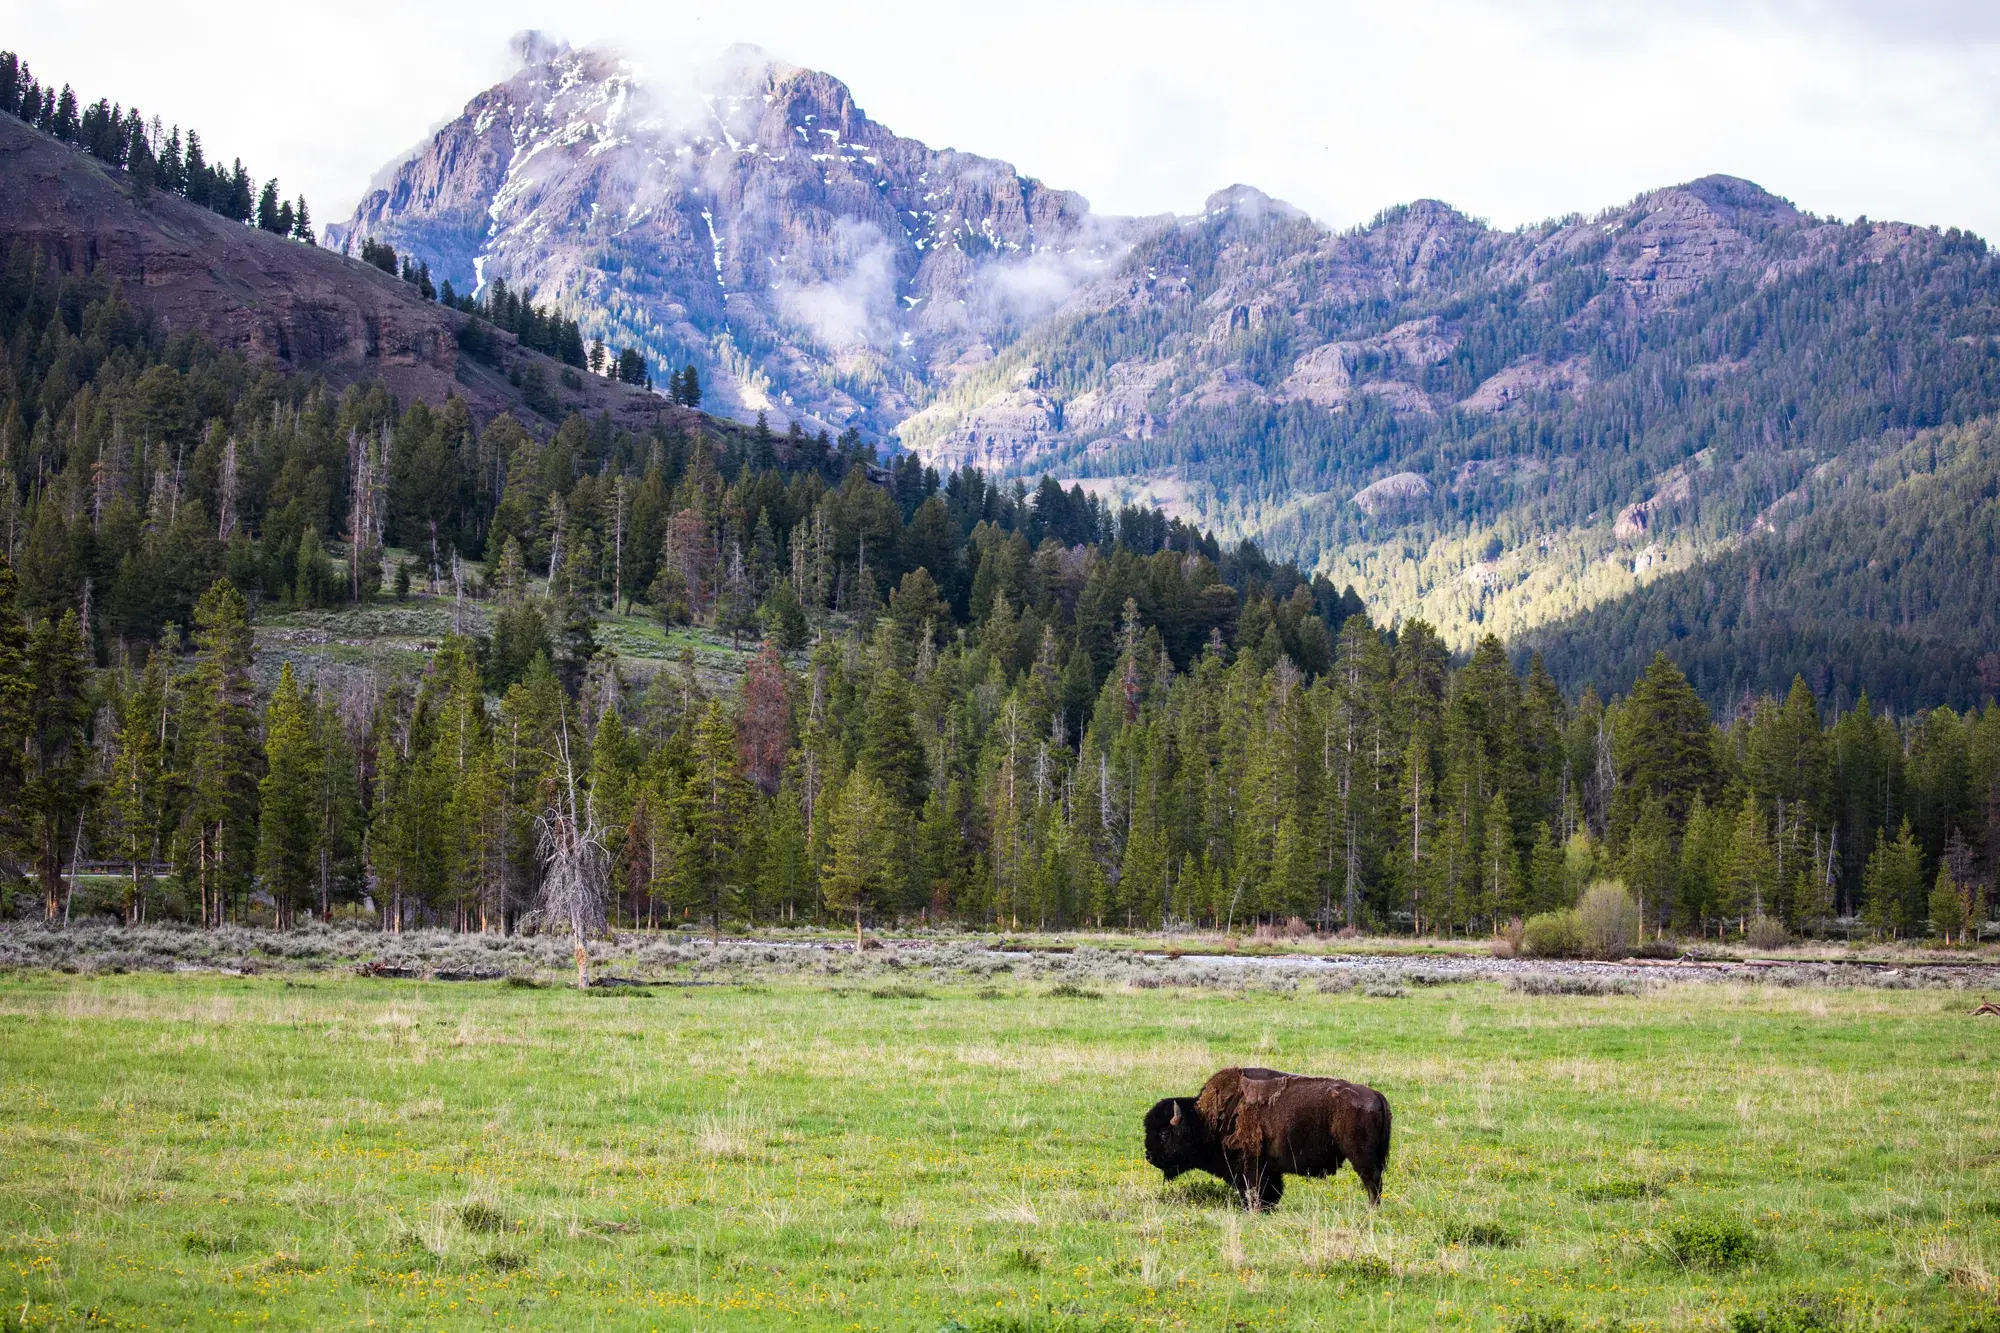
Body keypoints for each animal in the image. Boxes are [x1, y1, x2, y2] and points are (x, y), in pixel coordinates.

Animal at [1143, 1065, 1392, 1211]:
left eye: (1164, 1133)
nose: (1149, 1156)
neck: (1204, 1119)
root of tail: (1375, 1094)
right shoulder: (1269, 1169)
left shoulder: (1250, 1165)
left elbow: (1253, 1190)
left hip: (1360, 1157)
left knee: (1371, 1181)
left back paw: (1372, 1210)